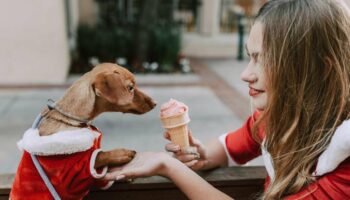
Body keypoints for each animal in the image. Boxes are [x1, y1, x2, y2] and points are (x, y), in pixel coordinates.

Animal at [10, 63, 155, 199]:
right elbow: (99, 155)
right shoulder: (69, 175)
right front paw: (122, 153)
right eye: (130, 88)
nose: (155, 103)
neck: (72, 121)